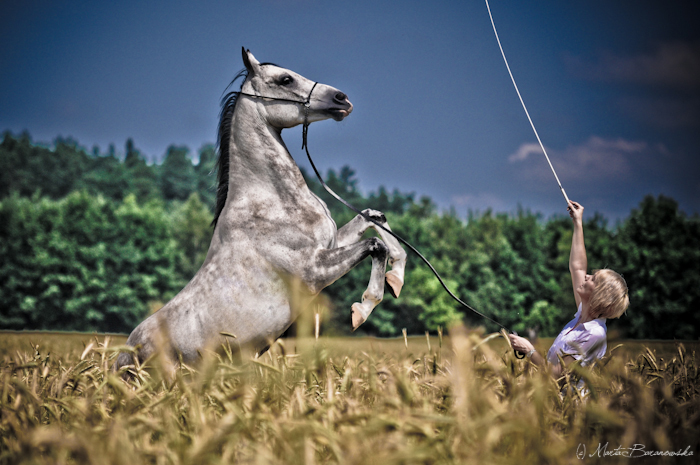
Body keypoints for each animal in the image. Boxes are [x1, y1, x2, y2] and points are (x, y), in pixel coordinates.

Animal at [115, 49, 408, 370]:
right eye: (285, 79)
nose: (342, 99)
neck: (271, 202)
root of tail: (123, 355)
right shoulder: (315, 269)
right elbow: (375, 244)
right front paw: (362, 310)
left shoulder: (330, 243)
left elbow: (376, 219)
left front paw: (396, 278)